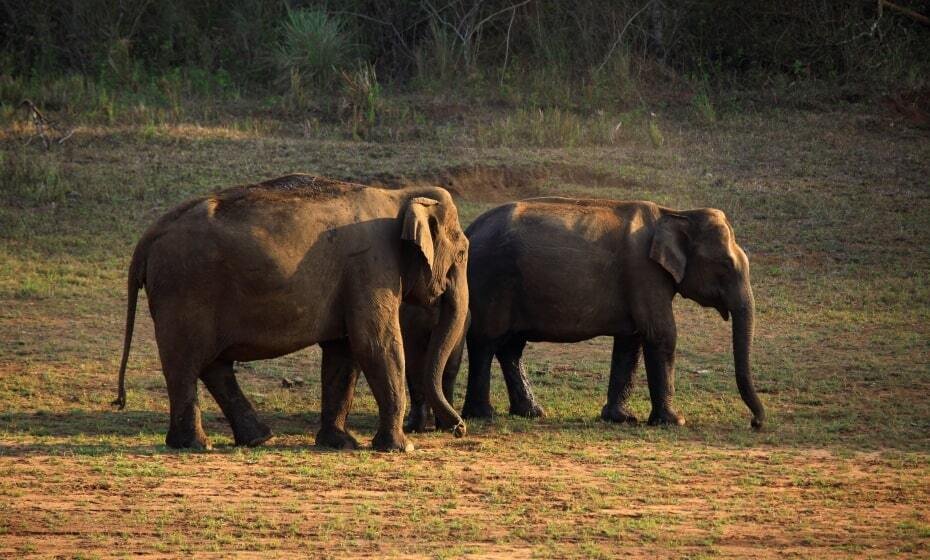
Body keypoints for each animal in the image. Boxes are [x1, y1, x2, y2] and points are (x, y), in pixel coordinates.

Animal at [112, 173, 468, 452]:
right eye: (463, 251)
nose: (459, 429)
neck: (400, 195)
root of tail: (148, 237)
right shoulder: (372, 267)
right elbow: (375, 344)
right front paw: (401, 448)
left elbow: (343, 351)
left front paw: (340, 444)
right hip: (184, 289)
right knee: (185, 363)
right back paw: (196, 445)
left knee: (213, 364)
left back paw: (257, 439)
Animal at [460, 197, 764, 428]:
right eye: (725, 265)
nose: (755, 423)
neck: (674, 214)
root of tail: (469, 229)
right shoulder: (645, 273)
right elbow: (662, 334)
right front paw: (674, 421)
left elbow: (630, 342)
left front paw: (621, 418)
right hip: (492, 280)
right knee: (485, 342)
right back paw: (483, 416)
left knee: (511, 347)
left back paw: (531, 413)